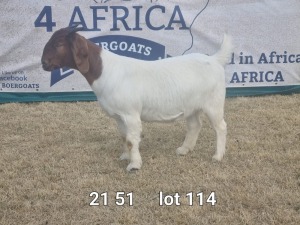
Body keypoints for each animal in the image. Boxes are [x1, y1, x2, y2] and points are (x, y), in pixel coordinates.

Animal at [41, 25, 233, 171]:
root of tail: (215, 60)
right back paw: (184, 149)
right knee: (195, 125)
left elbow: (132, 140)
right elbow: (124, 137)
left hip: (214, 103)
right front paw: (125, 157)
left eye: (59, 43)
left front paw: (134, 165)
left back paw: (217, 156)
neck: (106, 71)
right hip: (192, 106)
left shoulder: (131, 114)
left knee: (221, 127)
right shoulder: (119, 116)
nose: (43, 63)